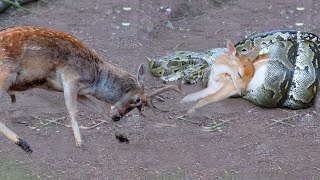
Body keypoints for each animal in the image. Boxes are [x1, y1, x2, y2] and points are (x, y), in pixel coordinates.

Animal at [0, 26, 181, 153]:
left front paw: (122, 137)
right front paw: (80, 143)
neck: (95, 77)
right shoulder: (70, 79)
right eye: (137, 100)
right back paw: (23, 144)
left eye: (140, 105)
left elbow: (99, 109)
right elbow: (72, 112)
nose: (117, 117)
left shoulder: (80, 92)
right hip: (5, 76)